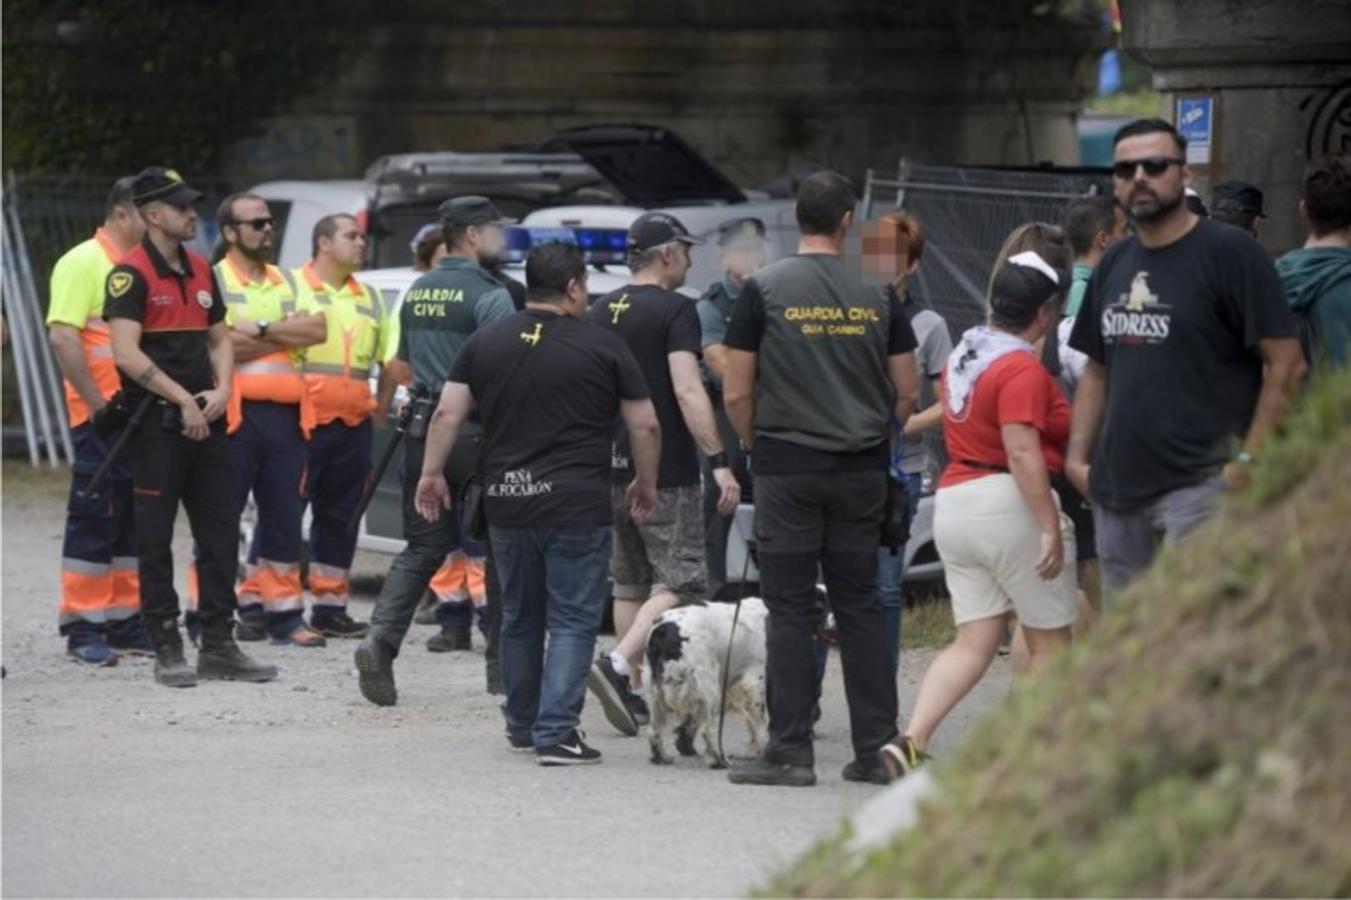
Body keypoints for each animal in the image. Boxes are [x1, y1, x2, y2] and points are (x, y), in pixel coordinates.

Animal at [645, 594, 772, 762]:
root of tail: (664, 629)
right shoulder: (755, 682)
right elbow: (761, 723)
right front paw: (762, 749)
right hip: (709, 686)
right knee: (707, 729)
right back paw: (719, 760)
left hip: (655, 690)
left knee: (654, 729)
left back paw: (662, 757)